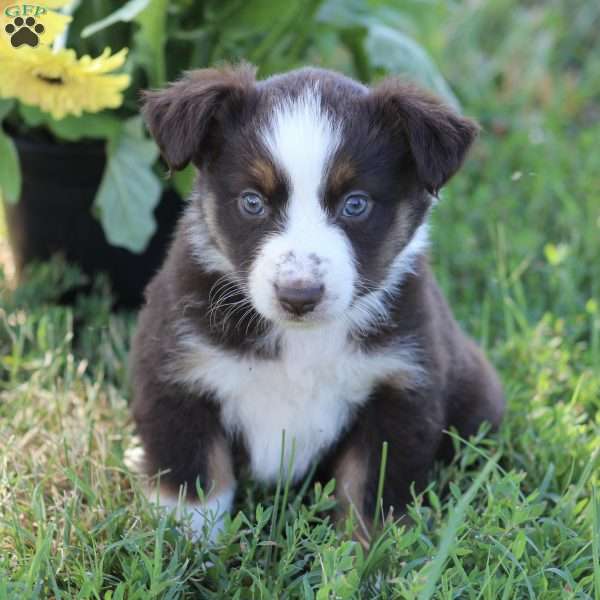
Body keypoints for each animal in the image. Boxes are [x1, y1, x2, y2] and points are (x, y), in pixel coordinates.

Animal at [131, 63, 506, 540]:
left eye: (356, 204)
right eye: (252, 201)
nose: (299, 295)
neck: (301, 343)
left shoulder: (401, 388)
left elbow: (369, 498)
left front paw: (366, 559)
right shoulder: (176, 373)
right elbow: (193, 486)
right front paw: (185, 551)